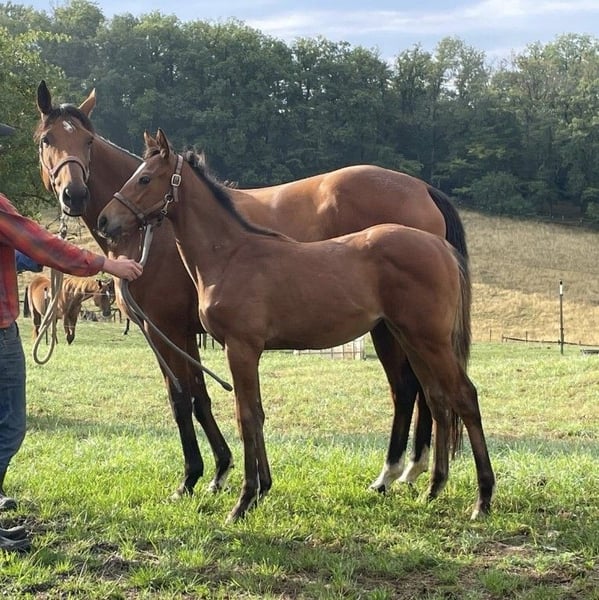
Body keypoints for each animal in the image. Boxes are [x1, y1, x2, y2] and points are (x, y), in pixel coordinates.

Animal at [35, 80, 470, 501]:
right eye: (47, 139)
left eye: (88, 141)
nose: (75, 195)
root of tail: (423, 189)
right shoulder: (179, 334)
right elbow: (201, 397)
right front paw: (225, 473)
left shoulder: (167, 329)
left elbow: (185, 398)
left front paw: (198, 476)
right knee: (419, 389)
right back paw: (406, 473)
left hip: (399, 329)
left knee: (410, 389)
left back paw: (400, 472)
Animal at [97, 130, 495, 523]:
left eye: (145, 178)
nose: (105, 220)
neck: (230, 256)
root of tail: (440, 247)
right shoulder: (240, 349)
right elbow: (256, 413)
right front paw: (261, 491)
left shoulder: (239, 347)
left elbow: (244, 417)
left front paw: (242, 501)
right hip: (411, 338)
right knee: (437, 397)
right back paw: (432, 487)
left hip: (429, 339)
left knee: (463, 396)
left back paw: (481, 499)